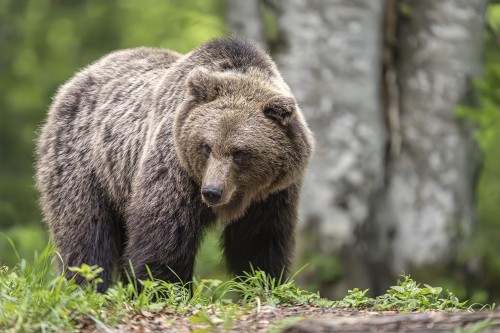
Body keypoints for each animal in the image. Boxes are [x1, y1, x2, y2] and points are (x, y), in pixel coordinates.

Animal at [37, 37, 314, 290]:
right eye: (206, 146)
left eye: (240, 152)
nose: (212, 191)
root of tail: (79, 76)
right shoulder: (176, 168)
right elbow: (164, 232)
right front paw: (163, 287)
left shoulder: (271, 195)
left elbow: (258, 241)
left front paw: (262, 281)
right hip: (85, 163)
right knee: (86, 231)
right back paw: (85, 285)